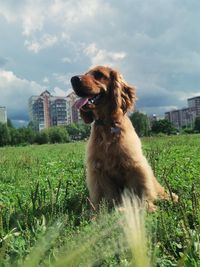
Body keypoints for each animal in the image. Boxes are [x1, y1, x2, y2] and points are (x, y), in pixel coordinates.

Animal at [70, 66, 178, 210]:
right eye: (86, 73)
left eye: (99, 74)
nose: (73, 79)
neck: (108, 124)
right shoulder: (98, 169)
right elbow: (103, 195)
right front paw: (99, 212)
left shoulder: (134, 165)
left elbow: (140, 190)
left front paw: (146, 207)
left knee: (161, 192)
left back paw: (171, 199)